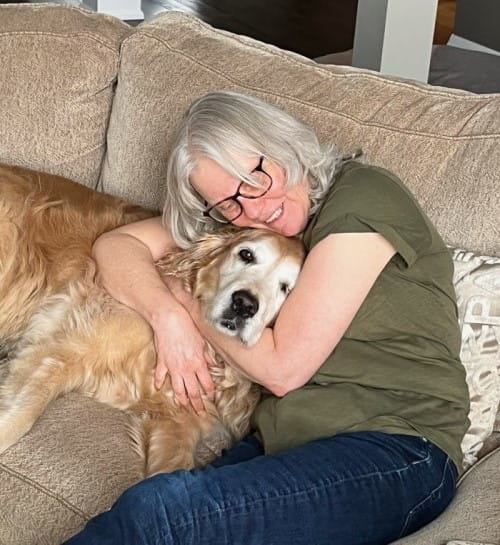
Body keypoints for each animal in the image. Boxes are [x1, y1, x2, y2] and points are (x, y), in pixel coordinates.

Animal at [0, 164, 304, 474]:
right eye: (246, 254)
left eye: (286, 289)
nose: (244, 304)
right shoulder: (60, 350)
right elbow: (21, 417)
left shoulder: (177, 421)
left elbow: (174, 471)